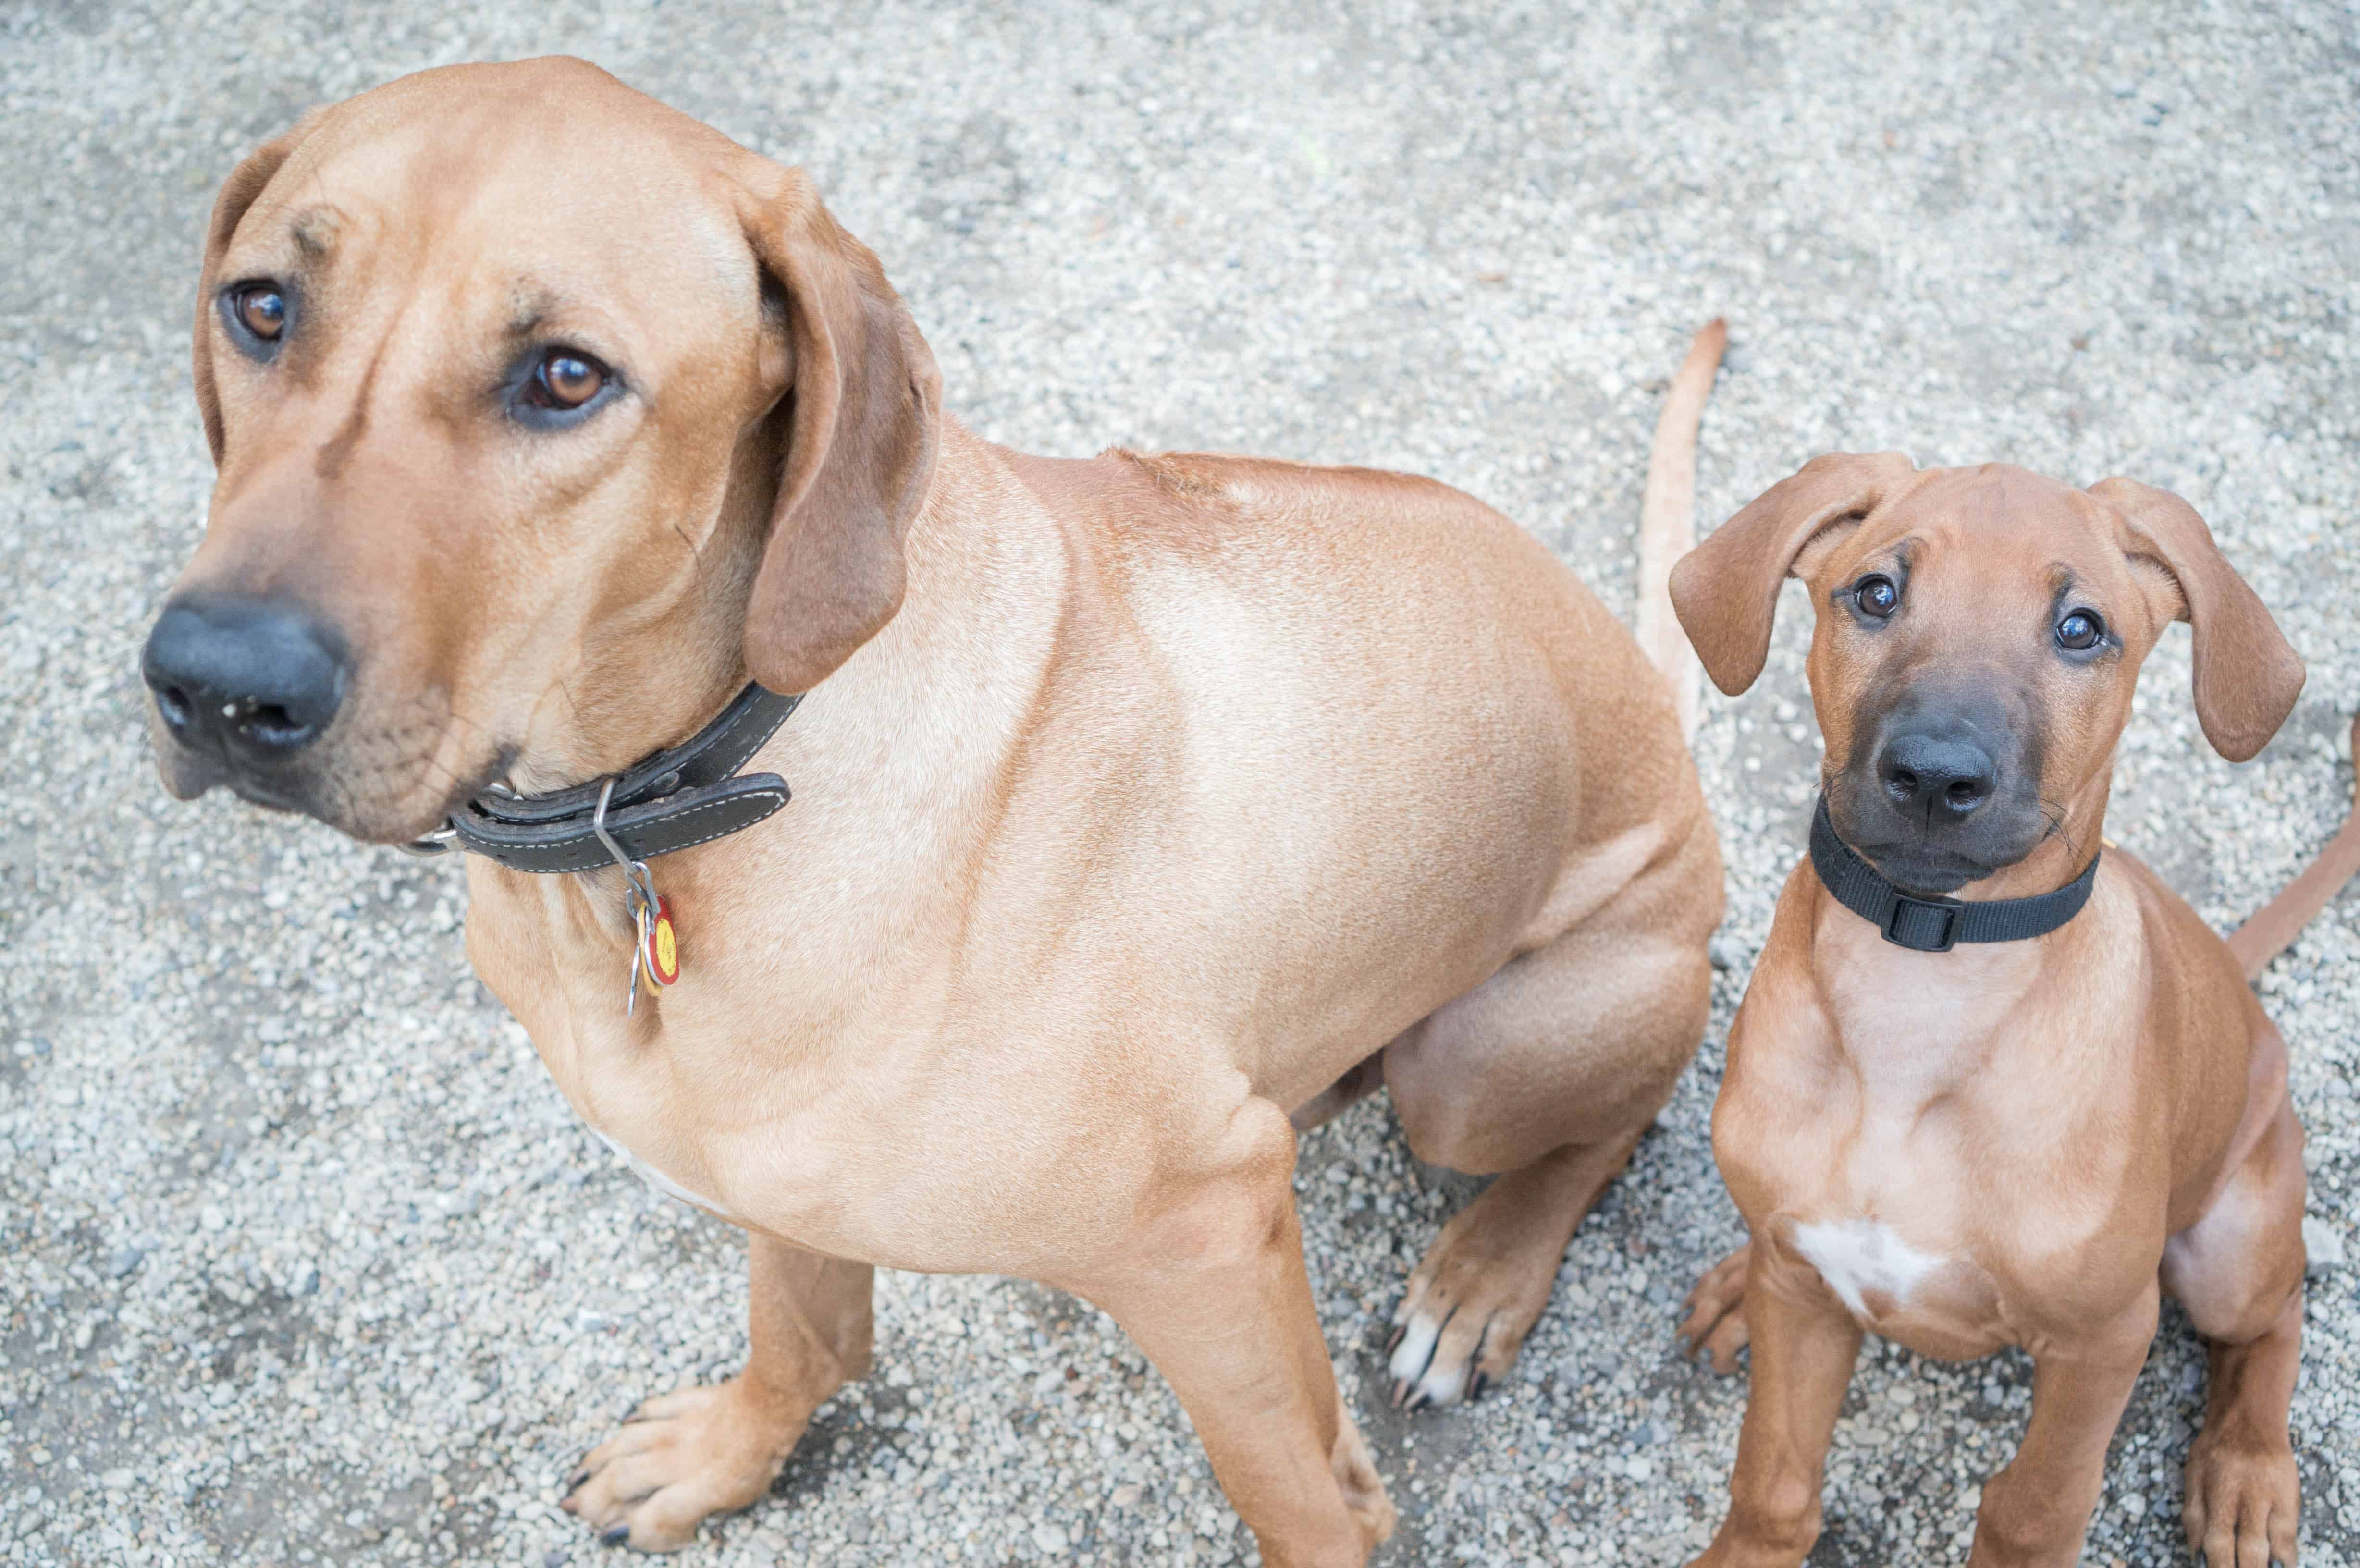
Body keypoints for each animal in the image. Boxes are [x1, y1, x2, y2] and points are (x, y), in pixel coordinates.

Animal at [148, 58, 1727, 1558]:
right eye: (264, 306)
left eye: (564, 375)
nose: (218, 684)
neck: (659, 825)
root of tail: (1657, 719)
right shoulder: (774, 1174)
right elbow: (800, 1332)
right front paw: (723, 1459)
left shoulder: (1207, 1237)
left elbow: (1299, 1502)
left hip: (1476, 1060)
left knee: (1617, 1118)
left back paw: (1482, 1273)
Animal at [1671, 455, 2312, 1568]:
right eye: (1875, 593)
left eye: (2080, 628)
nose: (1933, 774)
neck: (1922, 985)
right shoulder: (1805, 1288)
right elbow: (1772, 1484)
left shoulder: (2104, 1340)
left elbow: (2034, 1507)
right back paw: (1728, 1282)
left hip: (2229, 1249)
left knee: (2275, 1318)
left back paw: (2246, 1474)